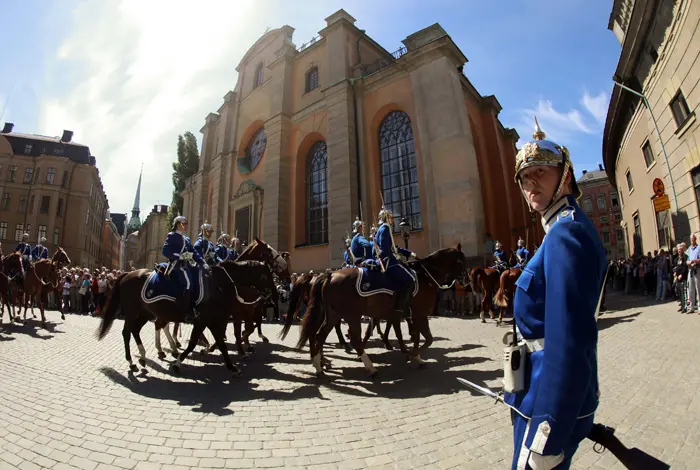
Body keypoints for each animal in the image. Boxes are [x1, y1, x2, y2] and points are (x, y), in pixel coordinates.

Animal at [98, 258, 270, 376]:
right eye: (265, 276)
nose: (268, 294)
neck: (219, 284)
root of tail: (128, 274)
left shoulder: (216, 320)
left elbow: (221, 343)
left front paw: (232, 366)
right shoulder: (206, 320)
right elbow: (196, 343)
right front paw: (178, 363)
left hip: (144, 314)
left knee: (137, 330)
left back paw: (144, 357)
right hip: (133, 313)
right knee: (128, 332)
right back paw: (133, 361)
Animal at [284, 246, 470, 378]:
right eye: (462, 261)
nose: (467, 282)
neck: (425, 277)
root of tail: (329, 275)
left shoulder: (405, 316)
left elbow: (415, 336)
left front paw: (413, 355)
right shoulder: (419, 314)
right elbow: (426, 338)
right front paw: (413, 354)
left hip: (333, 315)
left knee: (319, 335)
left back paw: (318, 365)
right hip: (351, 315)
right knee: (353, 339)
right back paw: (370, 367)